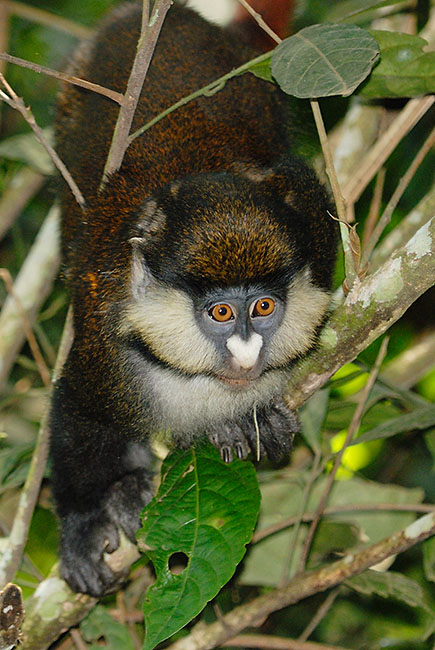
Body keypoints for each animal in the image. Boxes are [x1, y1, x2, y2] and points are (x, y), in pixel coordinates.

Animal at [49, 2, 338, 596]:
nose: (247, 353)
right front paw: (83, 526)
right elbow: (77, 418)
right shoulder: (106, 352)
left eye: (264, 307)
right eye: (221, 312)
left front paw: (257, 420)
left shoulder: (313, 224)